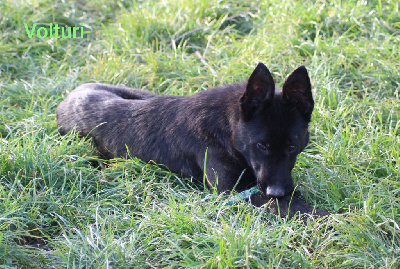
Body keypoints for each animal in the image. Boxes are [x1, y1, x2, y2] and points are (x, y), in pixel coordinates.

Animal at [57, 62, 316, 201]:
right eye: (261, 145)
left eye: (292, 146)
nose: (276, 192)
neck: (228, 129)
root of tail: (67, 98)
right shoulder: (238, 191)